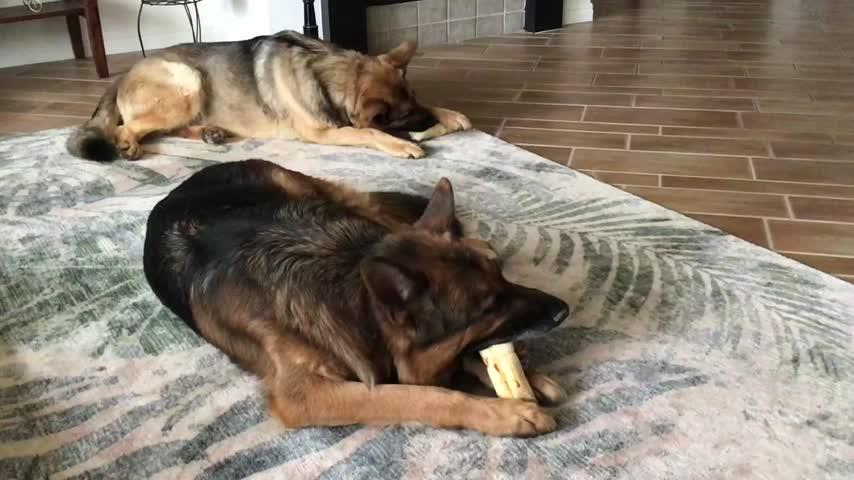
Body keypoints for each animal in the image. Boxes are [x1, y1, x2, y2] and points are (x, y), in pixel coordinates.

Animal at [66, 32, 472, 163]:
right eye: (402, 117)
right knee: (126, 129)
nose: (427, 125)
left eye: (416, 101)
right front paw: (401, 144)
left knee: (166, 129)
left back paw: (210, 133)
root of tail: (122, 75)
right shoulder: (324, 133)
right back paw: (129, 145)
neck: (329, 73)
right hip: (189, 81)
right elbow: (368, 132)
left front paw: (450, 114)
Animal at [144, 159, 572, 436]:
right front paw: (503, 413)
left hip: (325, 200)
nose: (563, 310)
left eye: (502, 279)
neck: (349, 290)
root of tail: (189, 179)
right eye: (488, 307)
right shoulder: (305, 395)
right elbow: (419, 395)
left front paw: (527, 377)